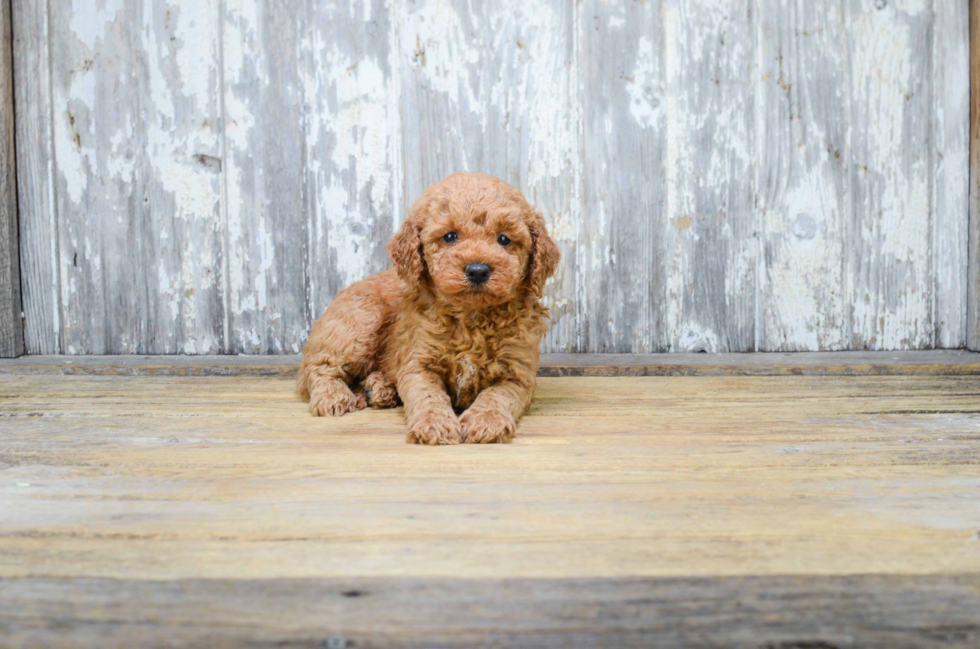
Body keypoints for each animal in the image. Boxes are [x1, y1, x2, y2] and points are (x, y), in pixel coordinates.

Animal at [294, 172, 560, 446]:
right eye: (450, 236)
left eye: (504, 239)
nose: (477, 270)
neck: (472, 317)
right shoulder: (418, 363)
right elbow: (427, 396)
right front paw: (435, 425)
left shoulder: (518, 373)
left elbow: (498, 395)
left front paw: (486, 420)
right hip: (359, 322)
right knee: (316, 368)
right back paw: (334, 395)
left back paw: (378, 388)